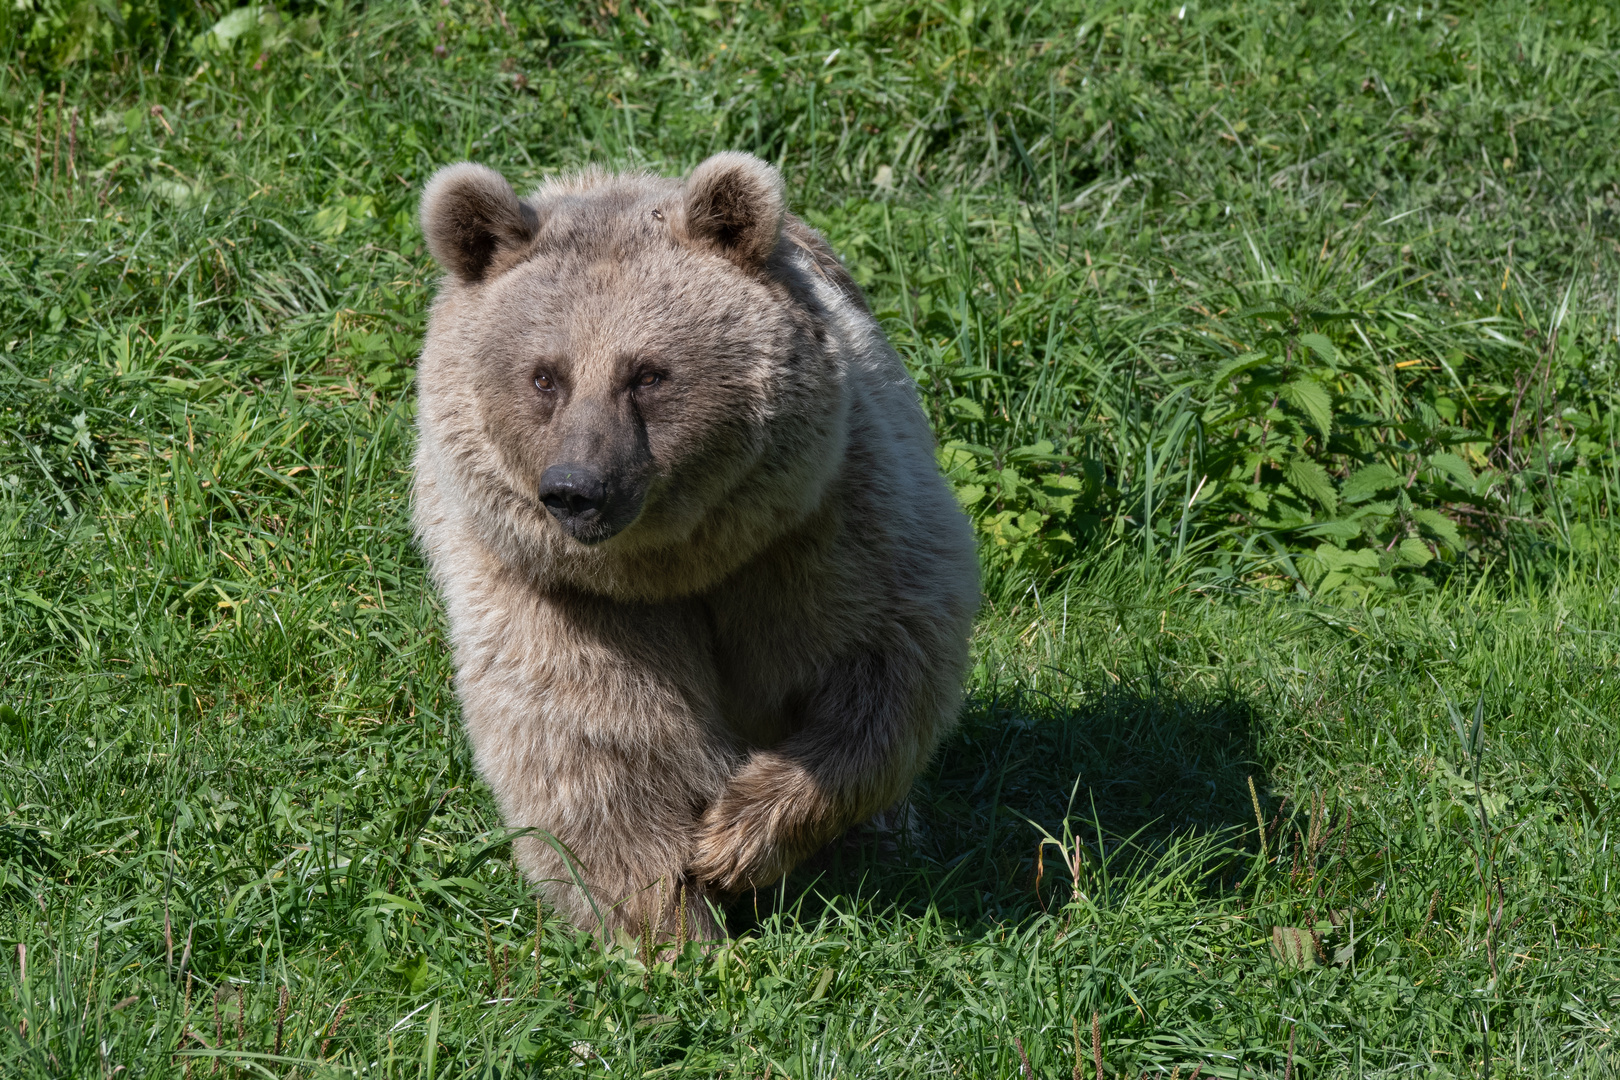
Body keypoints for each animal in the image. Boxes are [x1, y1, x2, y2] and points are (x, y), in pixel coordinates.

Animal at [411, 149, 978, 939]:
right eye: (544, 376)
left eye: (648, 372)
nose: (576, 488)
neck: (675, 564)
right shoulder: (558, 593)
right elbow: (595, 744)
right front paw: (670, 921)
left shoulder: (818, 529)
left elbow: (881, 667)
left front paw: (737, 838)